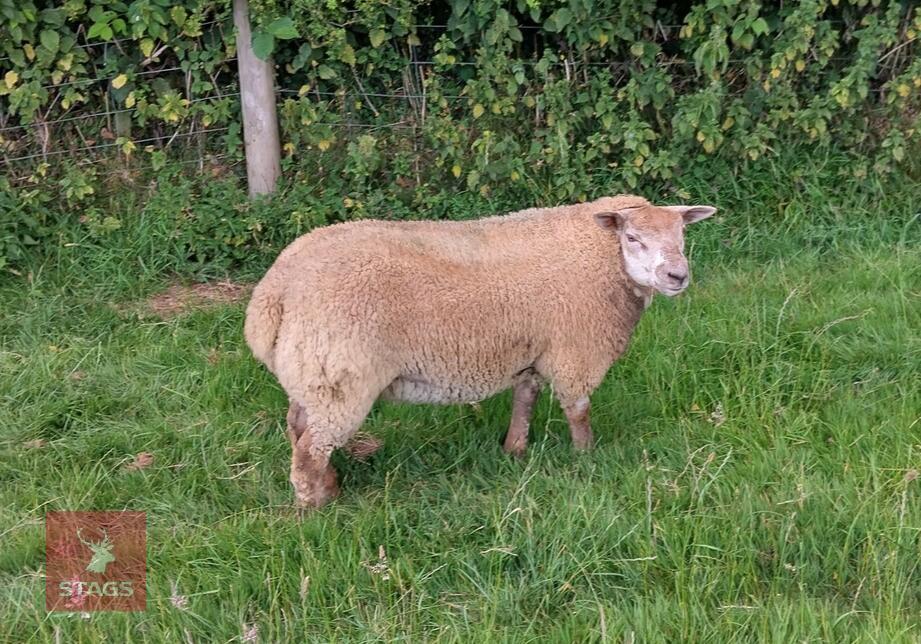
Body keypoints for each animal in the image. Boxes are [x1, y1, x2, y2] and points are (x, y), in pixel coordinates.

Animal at [244, 194, 716, 508]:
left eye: (682, 235)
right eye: (633, 237)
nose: (678, 276)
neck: (605, 259)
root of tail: (273, 292)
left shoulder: (533, 349)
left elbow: (525, 398)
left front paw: (514, 450)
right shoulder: (574, 351)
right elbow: (578, 410)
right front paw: (586, 458)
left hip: (312, 373)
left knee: (297, 428)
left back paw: (330, 485)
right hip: (340, 378)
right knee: (309, 451)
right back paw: (317, 508)